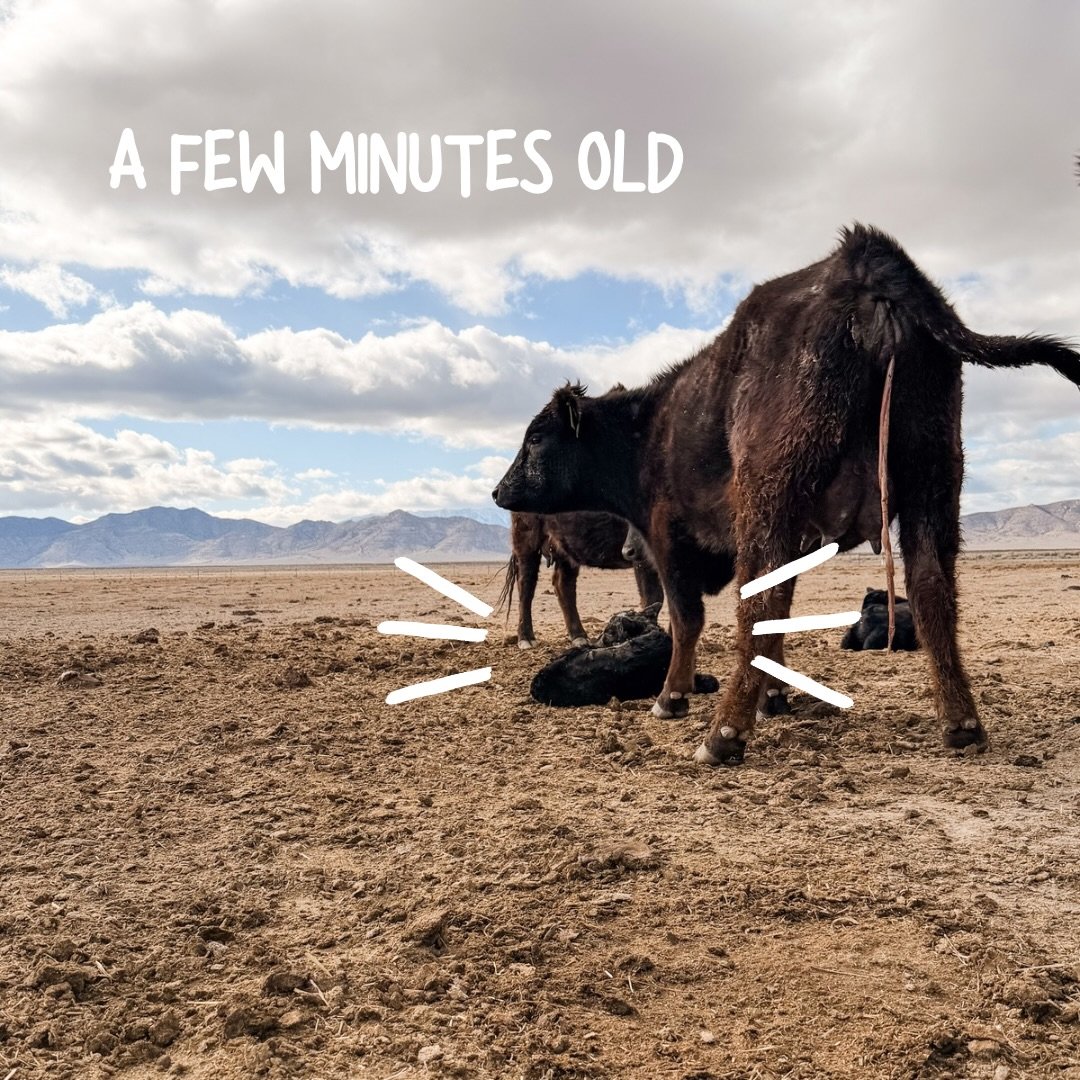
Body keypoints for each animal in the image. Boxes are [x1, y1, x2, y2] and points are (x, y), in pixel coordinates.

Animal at [497, 511, 663, 649]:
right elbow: (653, 598)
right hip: (526, 541)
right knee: (526, 586)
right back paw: (526, 639)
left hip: (565, 549)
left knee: (563, 584)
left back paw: (579, 637)